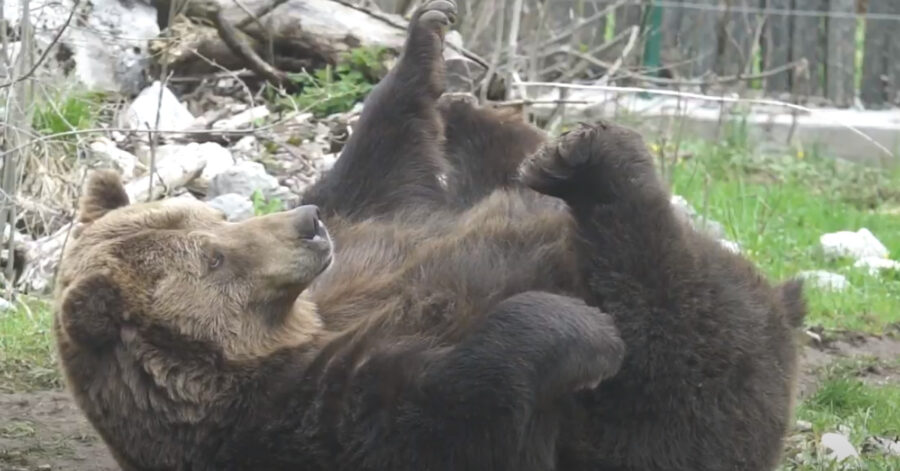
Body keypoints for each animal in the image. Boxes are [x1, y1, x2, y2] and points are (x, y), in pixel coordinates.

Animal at [52, 0, 804, 471]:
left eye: (215, 221)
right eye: (212, 259)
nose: (305, 226)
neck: (292, 328)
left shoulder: (363, 238)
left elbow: (381, 168)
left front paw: (427, 38)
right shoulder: (299, 410)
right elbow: (459, 399)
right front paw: (584, 332)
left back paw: (499, 125)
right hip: (669, 404)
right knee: (677, 309)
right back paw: (592, 168)